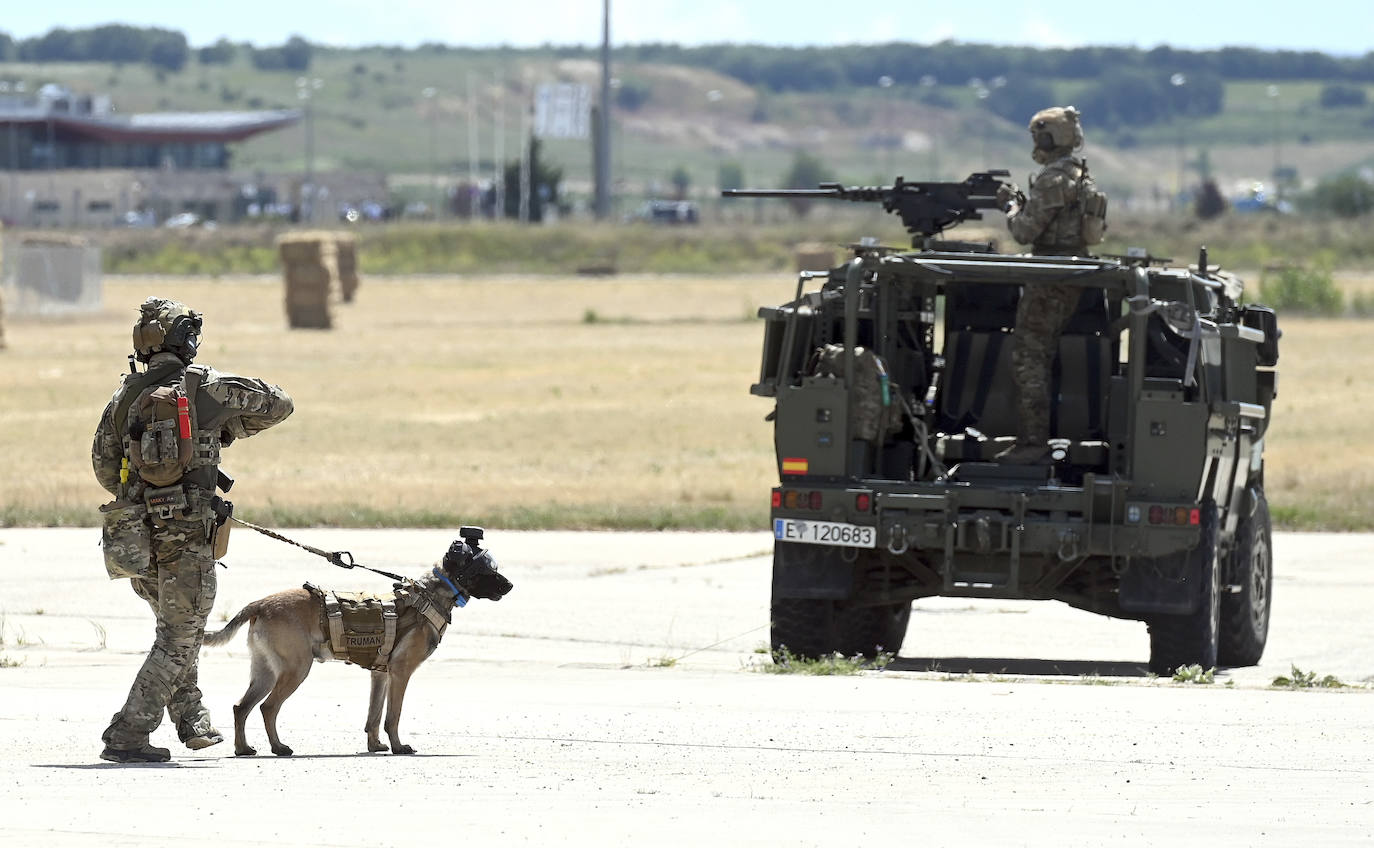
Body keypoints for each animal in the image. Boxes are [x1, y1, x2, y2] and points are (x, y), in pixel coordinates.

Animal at [208, 533, 516, 758]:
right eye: (488, 569)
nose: (511, 586)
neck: (432, 594)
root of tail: (260, 603)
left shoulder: (380, 676)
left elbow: (374, 716)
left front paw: (375, 745)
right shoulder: (400, 673)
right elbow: (392, 716)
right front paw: (399, 747)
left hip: (266, 672)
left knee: (241, 707)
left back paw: (242, 749)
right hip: (296, 670)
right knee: (268, 708)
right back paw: (278, 748)